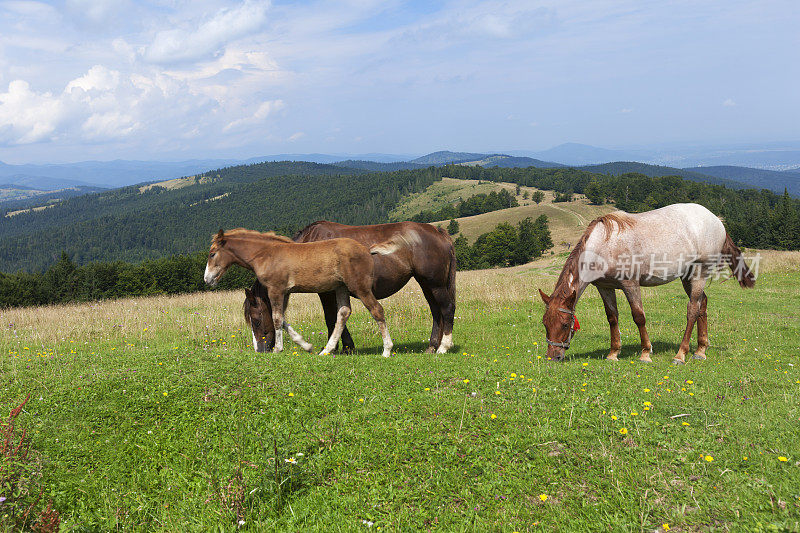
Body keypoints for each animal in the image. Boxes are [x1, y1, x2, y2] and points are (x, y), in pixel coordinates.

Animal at [205, 229, 396, 358]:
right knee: (343, 313)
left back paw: (387, 350)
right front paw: (307, 346)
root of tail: (366, 249)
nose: (207, 279)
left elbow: (276, 319)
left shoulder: (276, 289)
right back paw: (326, 350)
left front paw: (278, 349)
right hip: (341, 287)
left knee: (377, 310)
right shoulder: (285, 292)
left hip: (359, 287)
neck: (266, 255)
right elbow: (282, 319)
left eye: (212, 254)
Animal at [244, 220, 456, 354]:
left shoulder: (326, 292)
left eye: (256, 321)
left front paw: (341, 347)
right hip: (426, 284)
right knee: (436, 312)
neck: (305, 248)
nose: (260, 350)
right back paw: (432, 346)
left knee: (446, 309)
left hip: (435, 284)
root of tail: (438, 232)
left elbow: (332, 317)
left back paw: (443, 347)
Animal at [536, 202, 756, 364]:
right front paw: (613, 353)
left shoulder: (630, 285)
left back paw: (680, 354)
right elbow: (612, 318)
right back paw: (700, 350)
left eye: (565, 324)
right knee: (703, 305)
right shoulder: (605, 287)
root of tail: (716, 220)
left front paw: (645, 353)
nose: (553, 357)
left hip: (699, 273)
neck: (604, 245)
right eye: (545, 323)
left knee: (693, 310)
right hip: (687, 277)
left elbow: (638, 317)